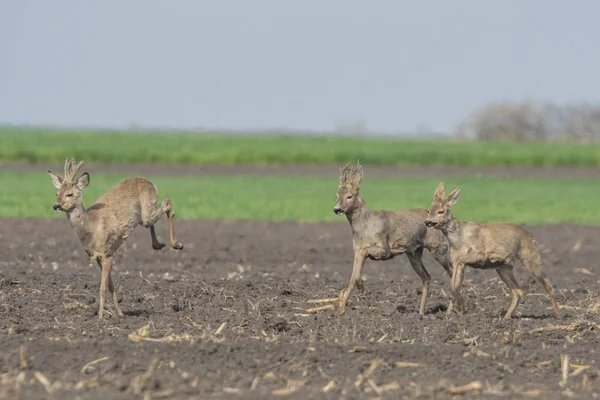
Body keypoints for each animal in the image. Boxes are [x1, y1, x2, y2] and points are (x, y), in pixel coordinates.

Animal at [48, 159, 183, 318]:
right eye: (57, 193)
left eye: (69, 194)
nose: (56, 205)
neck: (91, 229)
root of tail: (149, 181)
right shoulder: (99, 256)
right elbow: (110, 285)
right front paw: (120, 313)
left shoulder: (107, 253)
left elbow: (103, 288)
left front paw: (101, 318)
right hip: (144, 216)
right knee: (154, 218)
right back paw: (158, 244)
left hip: (149, 209)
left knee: (167, 203)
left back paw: (177, 244)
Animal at [330, 161, 452, 318]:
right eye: (336, 195)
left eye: (349, 196)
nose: (337, 209)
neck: (365, 226)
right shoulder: (356, 249)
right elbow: (352, 279)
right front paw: (340, 311)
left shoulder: (383, 247)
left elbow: (363, 261)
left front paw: (361, 288)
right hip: (413, 254)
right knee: (427, 277)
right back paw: (420, 313)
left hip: (439, 247)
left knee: (451, 270)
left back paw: (450, 310)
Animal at [424, 182, 560, 318]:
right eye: (429, 210)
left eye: (441, 211)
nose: (427, 221)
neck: (459, 240)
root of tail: (530, 234)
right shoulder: (458, 260)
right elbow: (456, 284)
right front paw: (448, 315)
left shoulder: (480, 252)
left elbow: (458, 269)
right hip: (503, 267)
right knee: (518, 291)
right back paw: (506, 317)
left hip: (529, 255)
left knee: (547, 282)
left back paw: (557, 314)